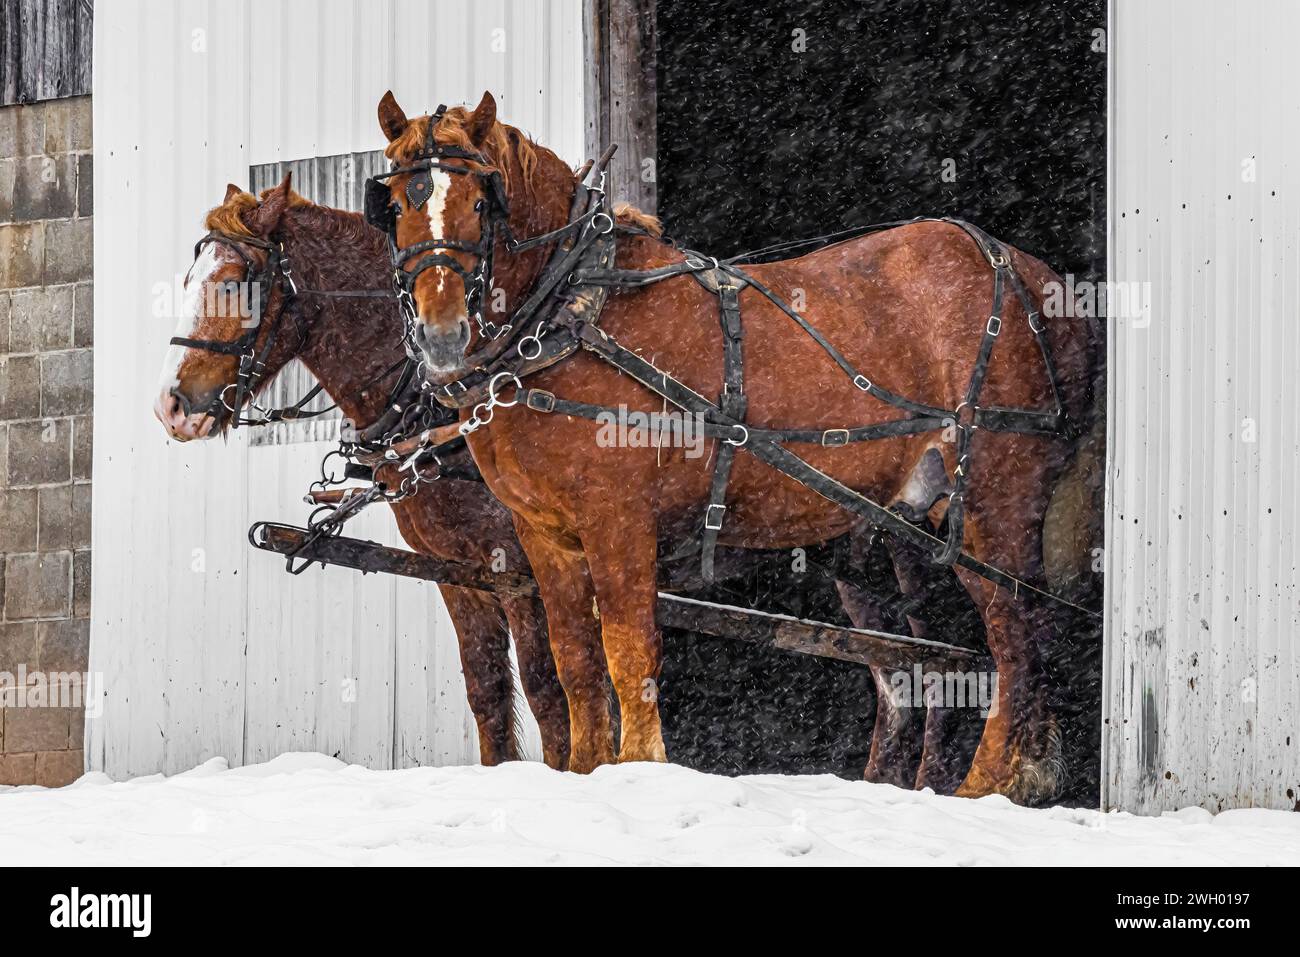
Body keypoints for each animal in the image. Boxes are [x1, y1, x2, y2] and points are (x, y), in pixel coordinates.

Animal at [152, 174, 569, 769]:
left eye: (233, 285)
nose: (170, 407)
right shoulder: (462, 573)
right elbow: (487, 691)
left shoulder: (524, 569)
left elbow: (550, 692)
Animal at [377, 93, 1097, 806]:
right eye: (395, 206)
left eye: (481, 202)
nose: (441, 335)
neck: (574, 312)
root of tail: (1028, 274)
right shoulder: (544, 535)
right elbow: (576, 660)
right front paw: (586, 770)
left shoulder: (618, 522)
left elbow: (628, 652)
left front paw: (640, 767)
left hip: (995, 502)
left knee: (1017, 641)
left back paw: (993, 782)